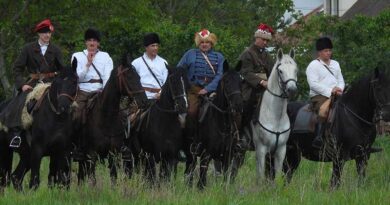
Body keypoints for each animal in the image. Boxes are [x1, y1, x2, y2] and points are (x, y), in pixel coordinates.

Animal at [75, 58, 149, 186]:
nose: (144, 101)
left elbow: (113, 178)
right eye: (129, 76)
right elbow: (92, 180)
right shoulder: (92, 154)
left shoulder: (113, 154)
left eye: (138, 77)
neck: (106, 119)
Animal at [244, 48, 298, 183]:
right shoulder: (261, 150)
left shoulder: (280, 151)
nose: (292, 90)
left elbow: (277, 177)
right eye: (280, 71)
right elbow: (260, 177)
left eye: (296, 70)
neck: (275, 117)